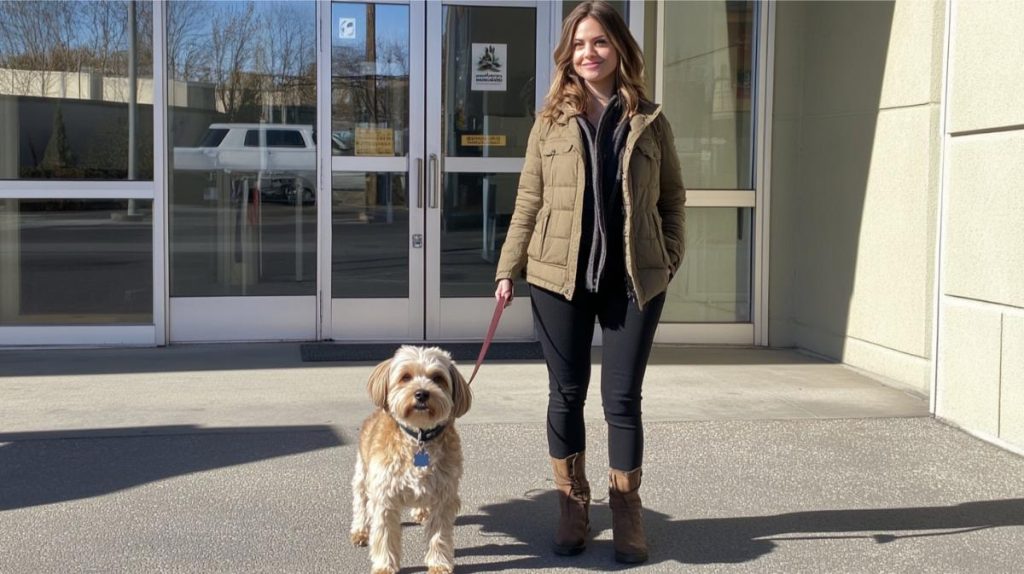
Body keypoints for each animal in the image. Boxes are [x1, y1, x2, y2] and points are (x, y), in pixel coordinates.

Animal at [346, 343, 468, 572]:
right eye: (405, 377)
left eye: (437, 378)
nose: (422, 394)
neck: (418, 438)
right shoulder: (384, 496)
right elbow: (384, 536)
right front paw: (385, 566)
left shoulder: (444, 495)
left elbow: (439, 536)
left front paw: (439, 564)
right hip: (362, 474)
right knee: (361, 502)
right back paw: (360, 530)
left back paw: (421, 512)